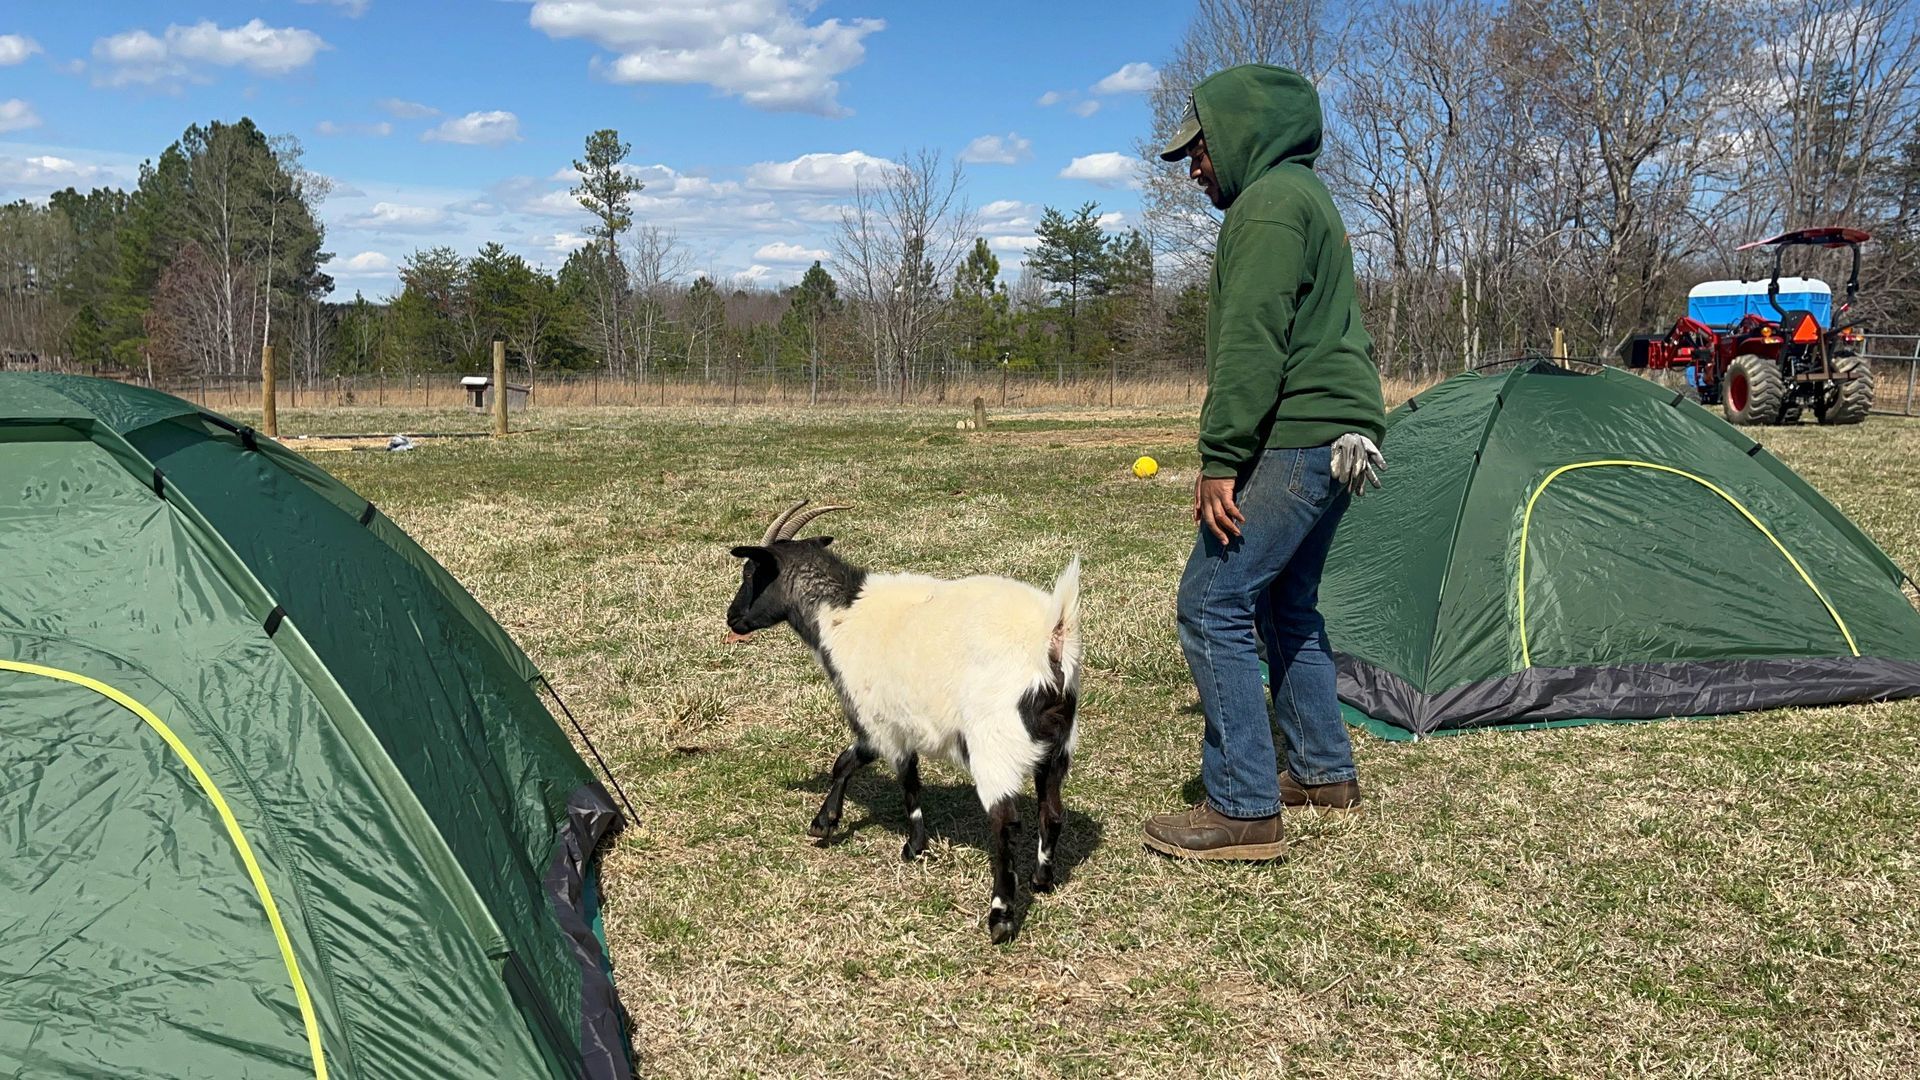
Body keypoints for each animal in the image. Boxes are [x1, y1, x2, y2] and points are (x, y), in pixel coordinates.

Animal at [726, 499, 1082, 943]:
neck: (841, 614)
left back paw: (1000, 916)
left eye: (750, 573)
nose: (732, 618)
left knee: (1005, 824)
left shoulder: (878, 719)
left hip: (995, 743)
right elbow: (877, 769)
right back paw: (1042, 880)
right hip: (1058, 745)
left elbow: (885, 775)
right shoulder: (900, 723)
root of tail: (1053, 637)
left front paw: (895, 842)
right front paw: (839, 825)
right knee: (1051, 812)